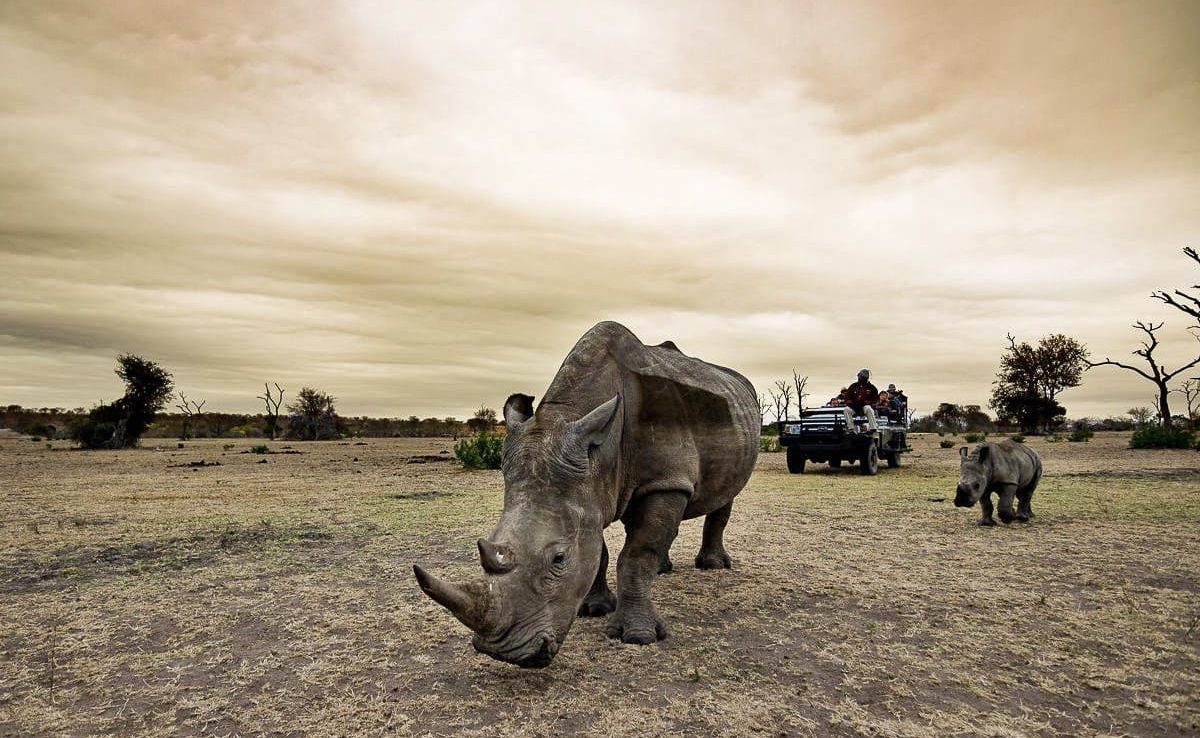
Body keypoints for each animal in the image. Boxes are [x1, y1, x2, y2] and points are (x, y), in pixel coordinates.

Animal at [413, 321, 760, 668]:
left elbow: (637, 554)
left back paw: (712, 566)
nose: (503, 654)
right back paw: (664, 569)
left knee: (724, 496)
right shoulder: (587, 491)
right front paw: (593, 609)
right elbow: (600, 549)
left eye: (559, 559)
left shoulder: (665, 479)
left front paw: (639, 637)